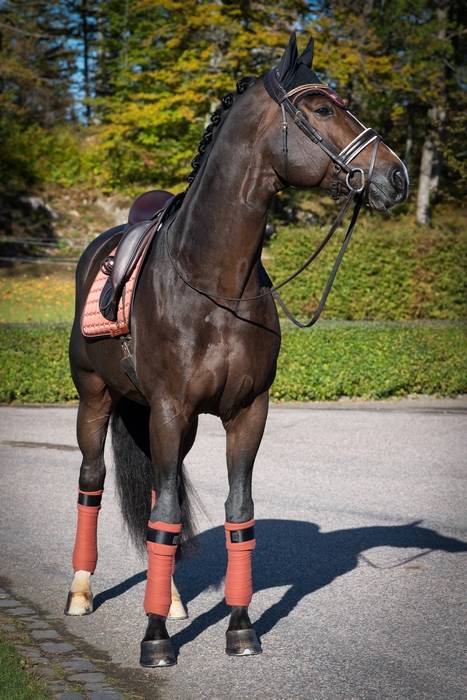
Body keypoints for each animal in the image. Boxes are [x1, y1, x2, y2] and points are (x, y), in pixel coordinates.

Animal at [65, 34, 410, 668]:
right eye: (320, 108)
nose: (394, 176)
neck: (216, 282)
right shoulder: (171, 409)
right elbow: (165, 516)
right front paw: (155, 640)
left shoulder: (246, 413)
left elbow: (233, 515)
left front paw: (240, 627)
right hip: (95, 401)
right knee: (92, 482)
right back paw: (80, 592)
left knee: (162, 490)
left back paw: (175, 600)